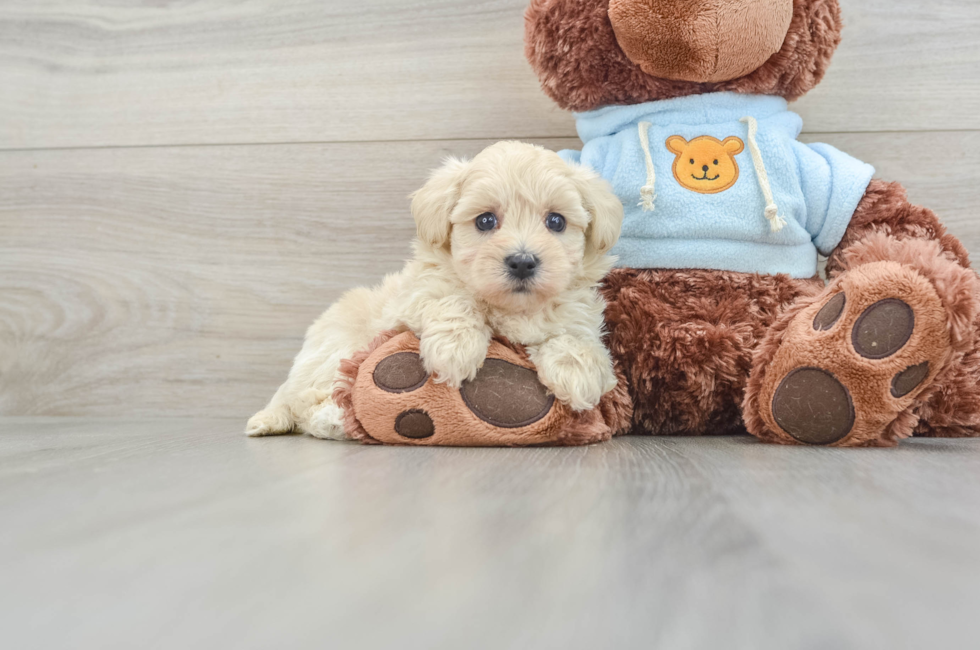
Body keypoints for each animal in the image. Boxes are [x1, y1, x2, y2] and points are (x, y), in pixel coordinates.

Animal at [249, 139, 624, 438]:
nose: (522, 261)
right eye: (485, 220)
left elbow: (575, 336)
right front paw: (455, 349)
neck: (512, 308)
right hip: (333, 350)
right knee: (307, 401)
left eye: (556, 221)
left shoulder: (579, 313)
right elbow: (451, 298)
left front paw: (577, 374)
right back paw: (332, 420)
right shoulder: (413, 297)